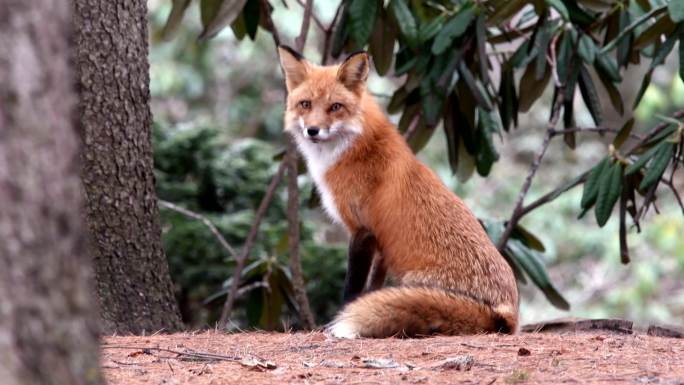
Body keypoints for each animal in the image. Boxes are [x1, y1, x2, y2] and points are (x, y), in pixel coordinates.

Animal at [278, 46, 520, 338]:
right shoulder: (381, 245)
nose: (312, 130)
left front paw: (336, 321)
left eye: (335, 107)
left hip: (412, 280)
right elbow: (372, 289)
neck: (355, 149)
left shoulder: (362, 229)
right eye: (306, 104)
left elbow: (352, 289)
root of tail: (506, 316)